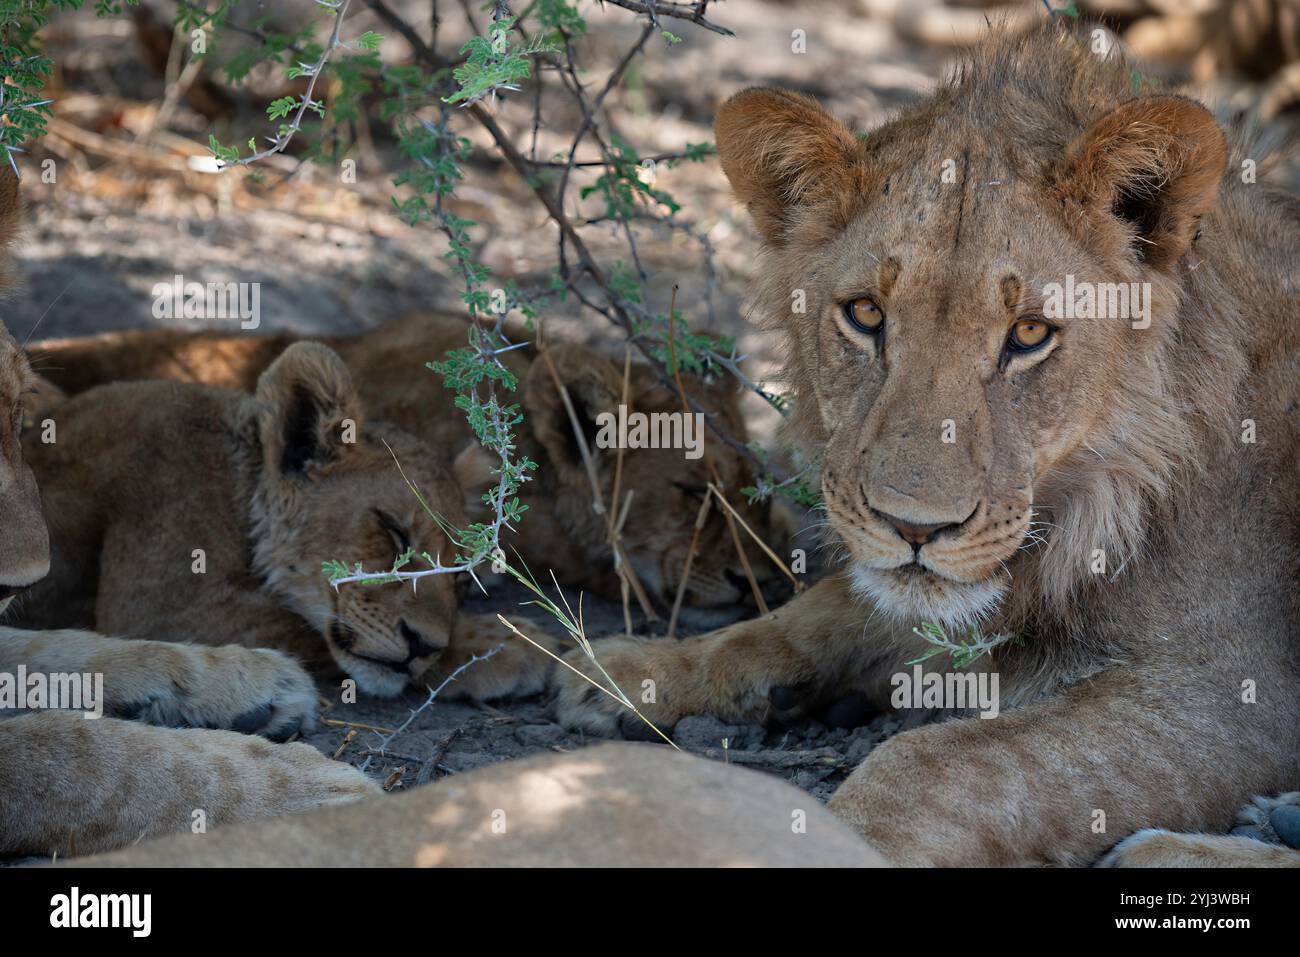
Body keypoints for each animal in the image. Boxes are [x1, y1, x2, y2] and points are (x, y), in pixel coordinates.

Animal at [552, 23, 1300, 867]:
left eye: (1029, 333)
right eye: (866, 314)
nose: (914, 528)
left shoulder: (1235, 688)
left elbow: (936, 763)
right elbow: (814, 614)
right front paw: (635, 665)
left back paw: (1172, 849)